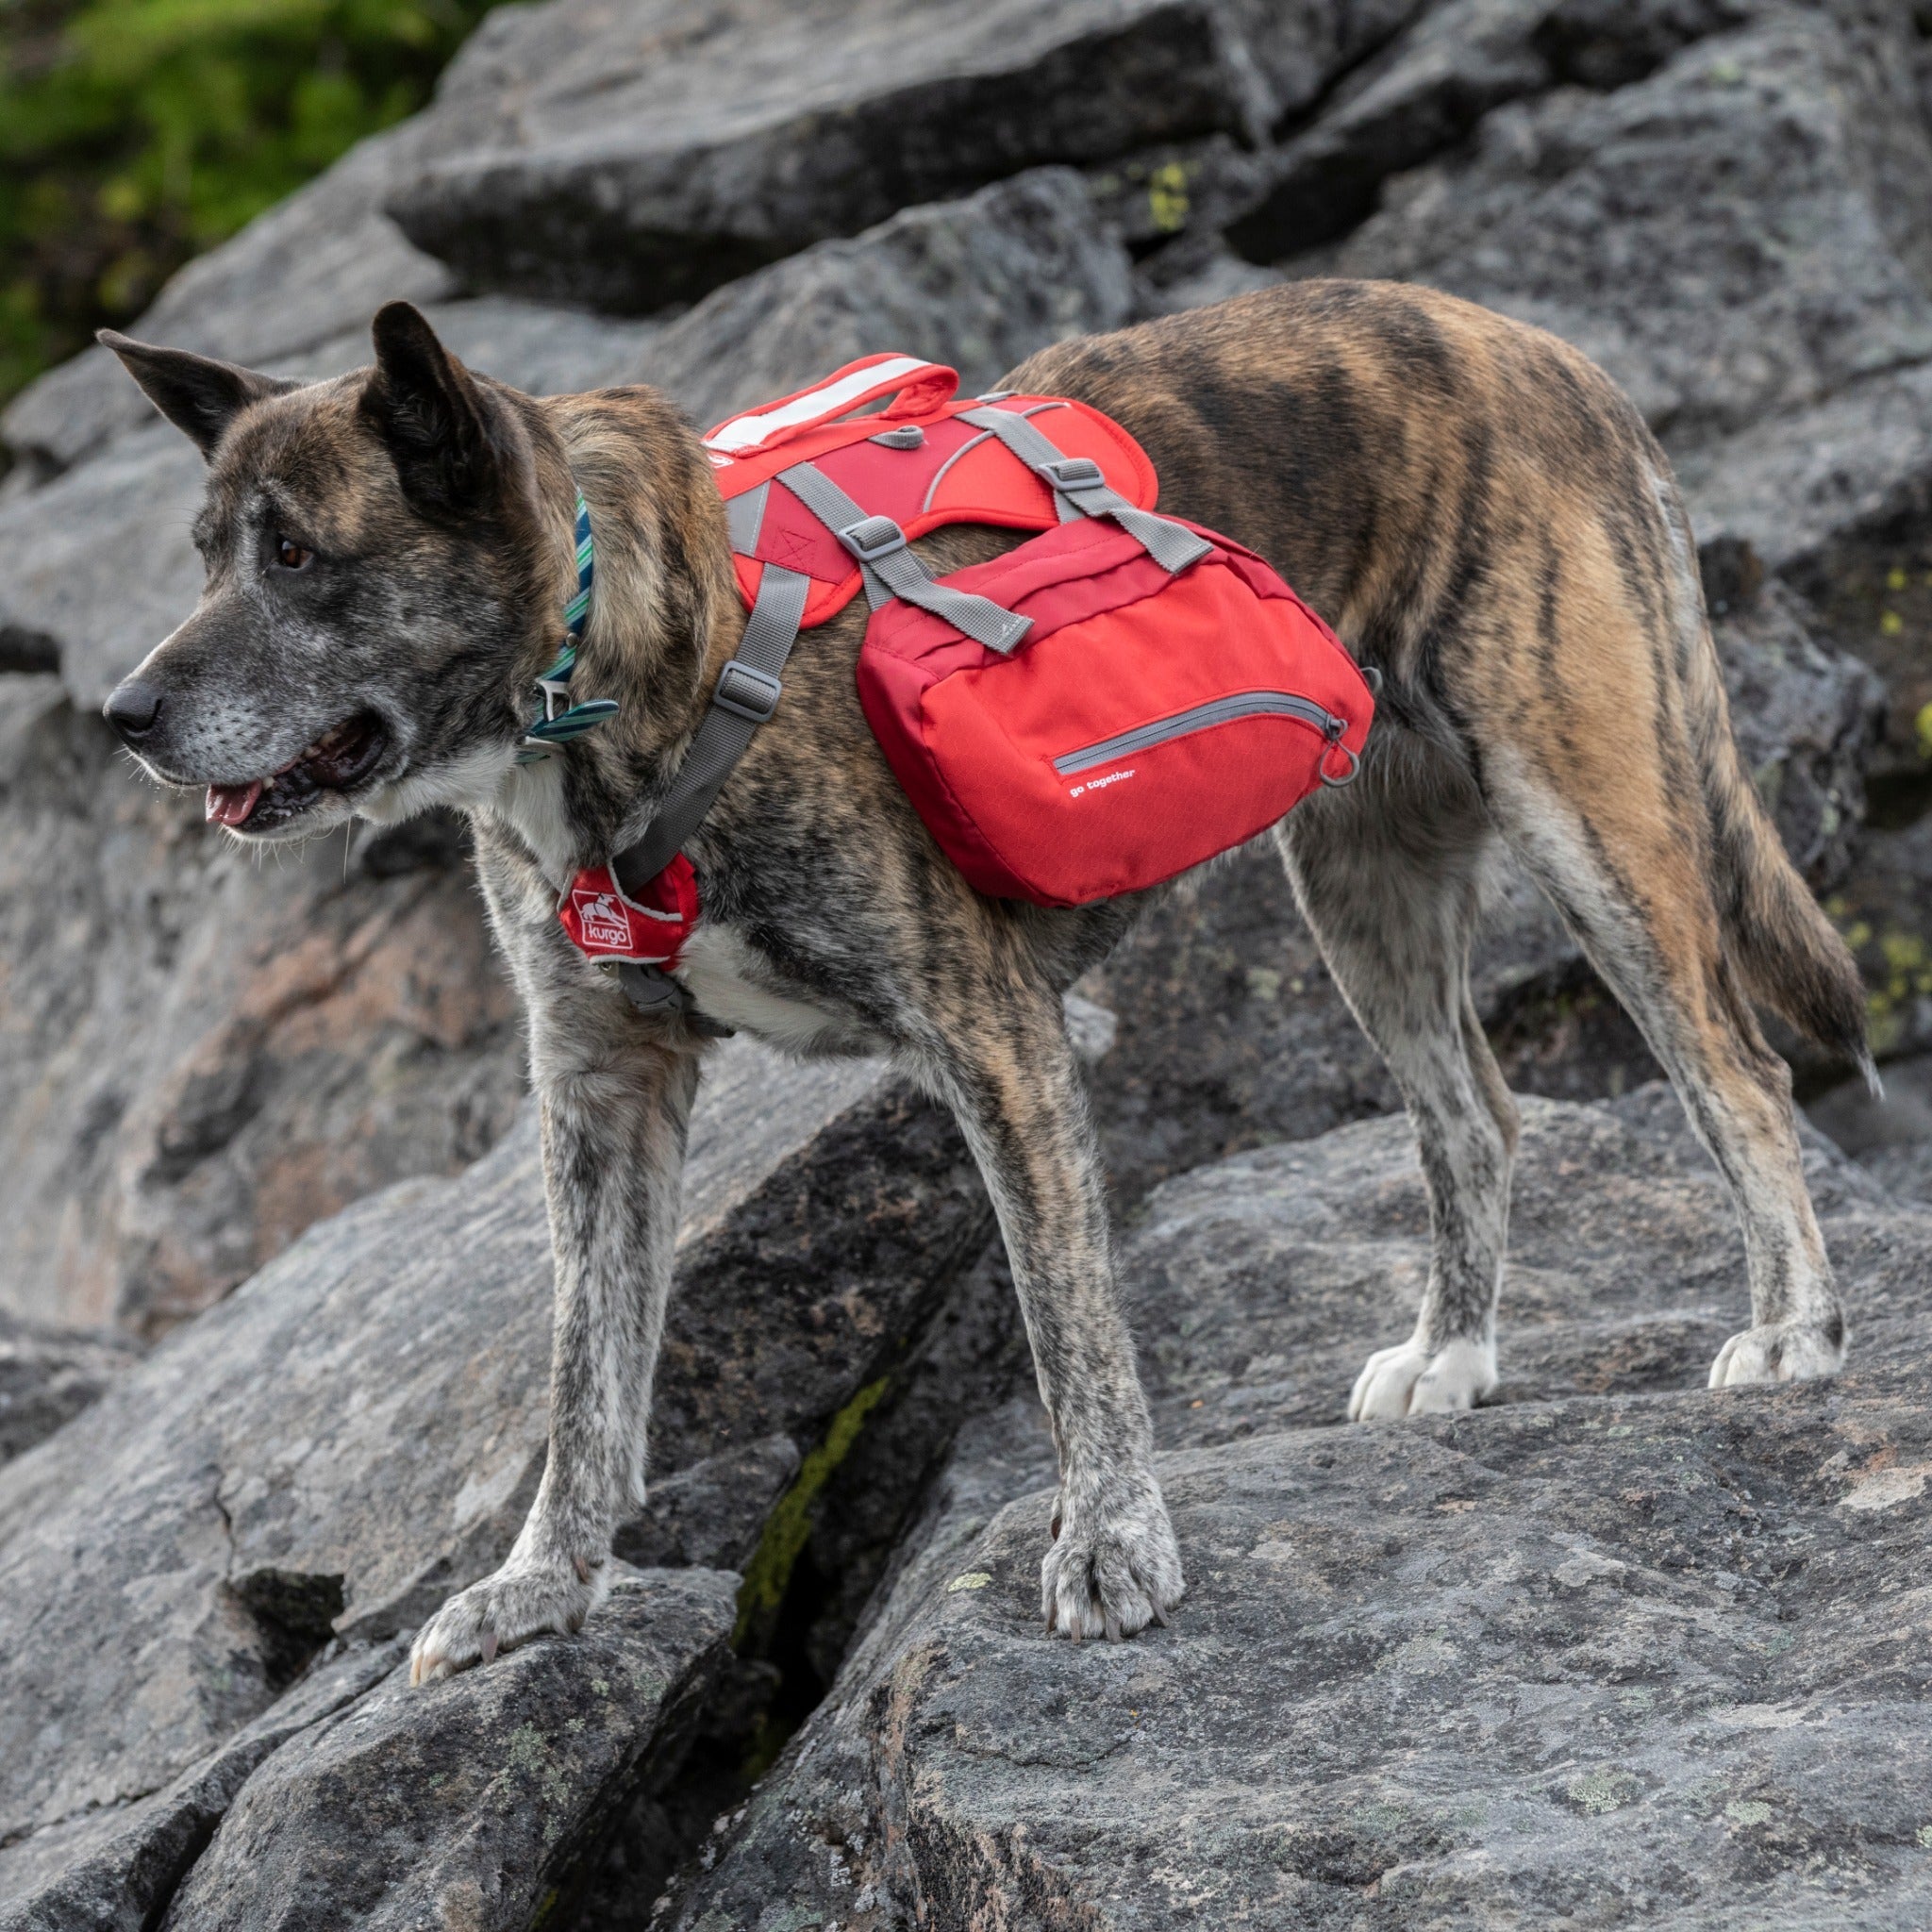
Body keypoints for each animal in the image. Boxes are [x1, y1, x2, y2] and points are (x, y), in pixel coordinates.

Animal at [102, 279, 1870, 1669]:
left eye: (296, 555)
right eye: (201, 558)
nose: (122, 714)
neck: (609, 664)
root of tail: (1539, 347)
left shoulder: (996, 1042)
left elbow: (1064, 1324)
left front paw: (1112, 1544)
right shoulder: (599, 1089)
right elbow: (583, 1372)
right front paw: (542, 1586)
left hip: (1591, 816)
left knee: (1736, 1072)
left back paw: (1790, 1327)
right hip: (1358, 877)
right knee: (1474, 1118)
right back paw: (1454, 1349)